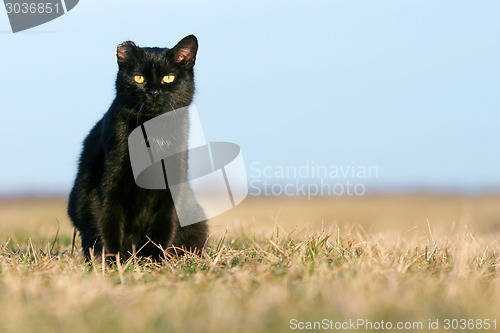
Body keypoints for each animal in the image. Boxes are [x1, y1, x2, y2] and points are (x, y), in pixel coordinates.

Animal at [68, 35, 207, 258]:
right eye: (139, 78)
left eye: (169, 77)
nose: (154, 92)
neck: (153, 131)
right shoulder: (108, 185)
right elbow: (107, 223)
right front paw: (114, 260)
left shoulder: (172, 186)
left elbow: (163, 228)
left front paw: (153, 260)